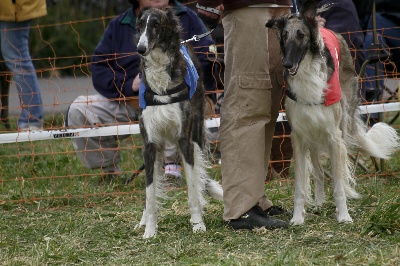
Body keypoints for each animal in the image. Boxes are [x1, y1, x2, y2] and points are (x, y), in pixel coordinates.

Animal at [266, 0, 400, 225]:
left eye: (301, 35)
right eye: (284, 35)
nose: (287, 64)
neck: (307, 75)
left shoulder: (333, 135)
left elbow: (338, 184)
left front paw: (344, 216)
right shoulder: (299, 135)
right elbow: (300, 186)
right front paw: (297, 218)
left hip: (341, 126)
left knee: (341, 170)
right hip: (312, 135)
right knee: (320, 173)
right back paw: (319, 203)